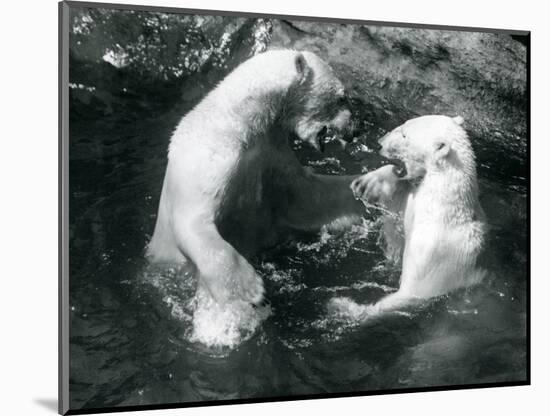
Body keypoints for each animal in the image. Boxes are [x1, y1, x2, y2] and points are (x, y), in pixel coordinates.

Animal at [149, 50, 364, 346]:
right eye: (342, 97)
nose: (356, 129)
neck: (240, 121)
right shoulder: (210, 159)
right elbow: (193, 222)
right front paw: (250, 290)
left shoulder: (271, 153)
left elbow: (307, 197)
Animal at [330, 115, 486, 316]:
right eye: (404, 124)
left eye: (404, 134)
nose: (379, 143)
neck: (443, 209)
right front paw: (367, 183)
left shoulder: (434, 256)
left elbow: (412, 293)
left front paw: (347, 307)